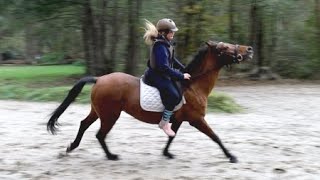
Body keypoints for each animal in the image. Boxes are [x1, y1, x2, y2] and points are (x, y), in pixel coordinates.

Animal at [47, 40, 252, 163]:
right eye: (223, 48)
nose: (249, 49)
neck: (193, 85)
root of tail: (99, 79)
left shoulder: (178, 120)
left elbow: (171, 136)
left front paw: (166, 153)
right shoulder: (196, 120)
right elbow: (215, 137)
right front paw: (231, 156)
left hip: (98, 111)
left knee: (84, 124)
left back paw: (71, 147)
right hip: (110, 115)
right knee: (100, 134)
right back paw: (111, 156)